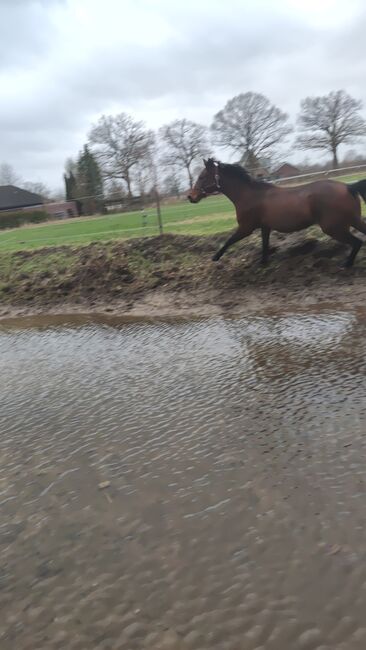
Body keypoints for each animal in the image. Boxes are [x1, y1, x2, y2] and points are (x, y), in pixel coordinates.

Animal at [187, 157, 366, 266]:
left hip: (334, 227)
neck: (249, 195)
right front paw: (263, 263)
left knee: (357, 242)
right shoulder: (265, 227)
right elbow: (265, 246)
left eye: (202, 177)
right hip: (354, 220)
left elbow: (229, 241)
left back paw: (346, 265)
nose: (190, 196)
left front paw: (215, 257)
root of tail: (348, 187)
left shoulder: (246, 228)